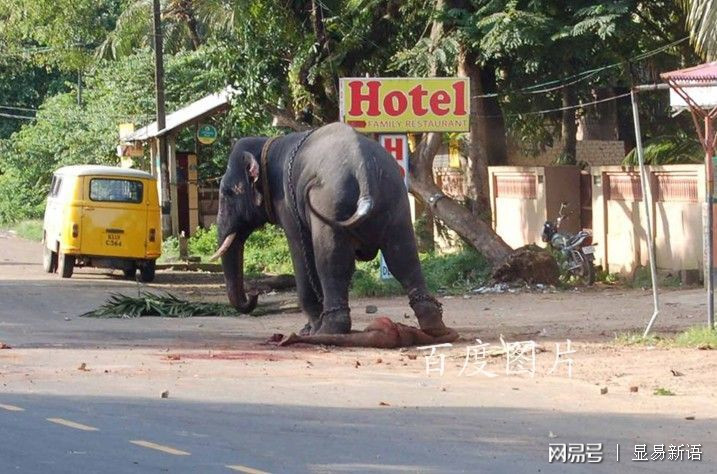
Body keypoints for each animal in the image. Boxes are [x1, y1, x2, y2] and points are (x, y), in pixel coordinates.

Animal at [211, 122, 448, 336]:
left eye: (227, 193)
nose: (254, 293)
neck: (267, 144)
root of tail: (363, 168)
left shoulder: (287, 206)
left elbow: (300, 251)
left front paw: (310, 330)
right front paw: (309, 329)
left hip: (330, 200)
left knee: (332, 261)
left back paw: (329, 330)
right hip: (395, 197)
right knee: (403, 257)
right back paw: (433, 327)